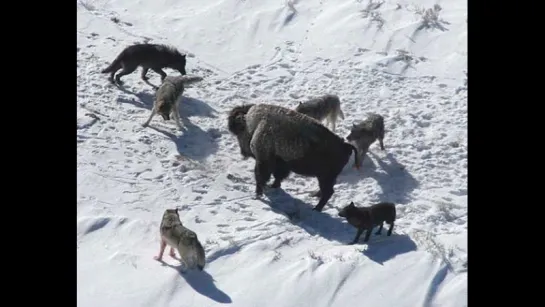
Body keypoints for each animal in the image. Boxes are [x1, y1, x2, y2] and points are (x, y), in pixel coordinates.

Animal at [227, 104, 360, 213]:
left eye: (239, 132)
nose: (243, 152)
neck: (255, 124)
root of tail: (345, 145)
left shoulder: (263, 161)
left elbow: (261, 177)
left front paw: (258, 195)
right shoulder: (281, 164)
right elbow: (278, 176)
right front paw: (273, 186)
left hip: (325, 177)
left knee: (328, 192)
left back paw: (316, 208)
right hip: (326, 177)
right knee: (327, 190)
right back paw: (314, 197)